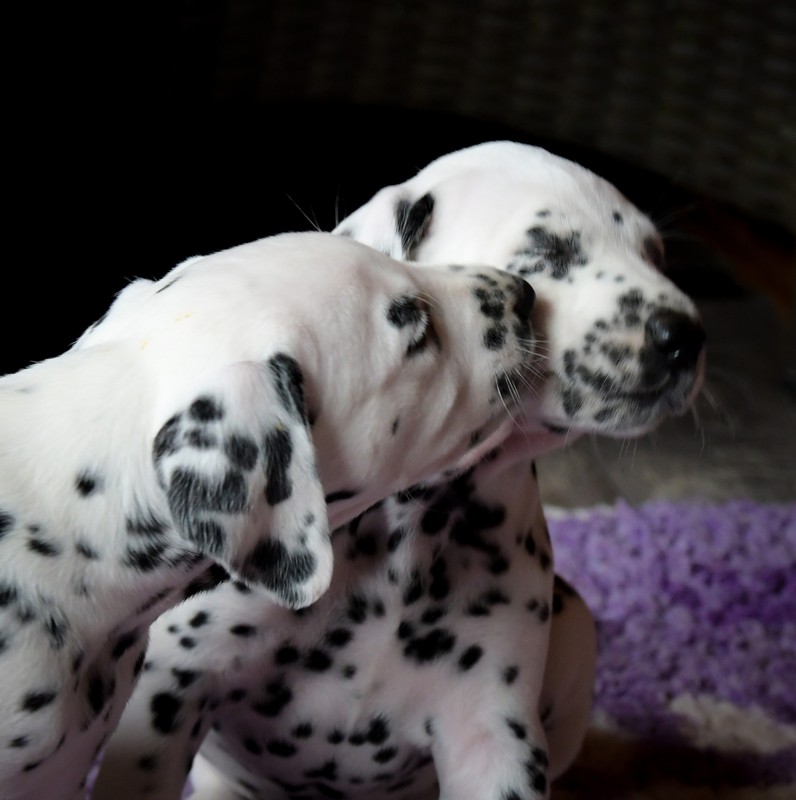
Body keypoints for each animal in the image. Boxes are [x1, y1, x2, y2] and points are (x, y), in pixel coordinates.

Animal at [92, 142, 706, 800]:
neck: (404, 533)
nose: (685, 336)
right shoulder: (170, 694)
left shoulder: (491, 734)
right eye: (549, 251)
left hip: (577, 630)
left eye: (656, 255)